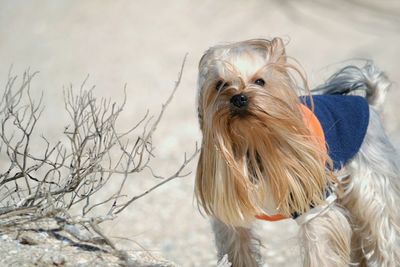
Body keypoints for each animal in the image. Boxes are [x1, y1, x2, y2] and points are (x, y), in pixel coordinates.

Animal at [195, 38, 400, 267]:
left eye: (260, 81)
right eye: (220, 84)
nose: (239, 98)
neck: (253, 141)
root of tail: (370, 105)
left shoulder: (315, 204)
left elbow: (320, 248)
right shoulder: (231, 211)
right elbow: (238, 247)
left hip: (370, 184)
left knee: (380, 227)